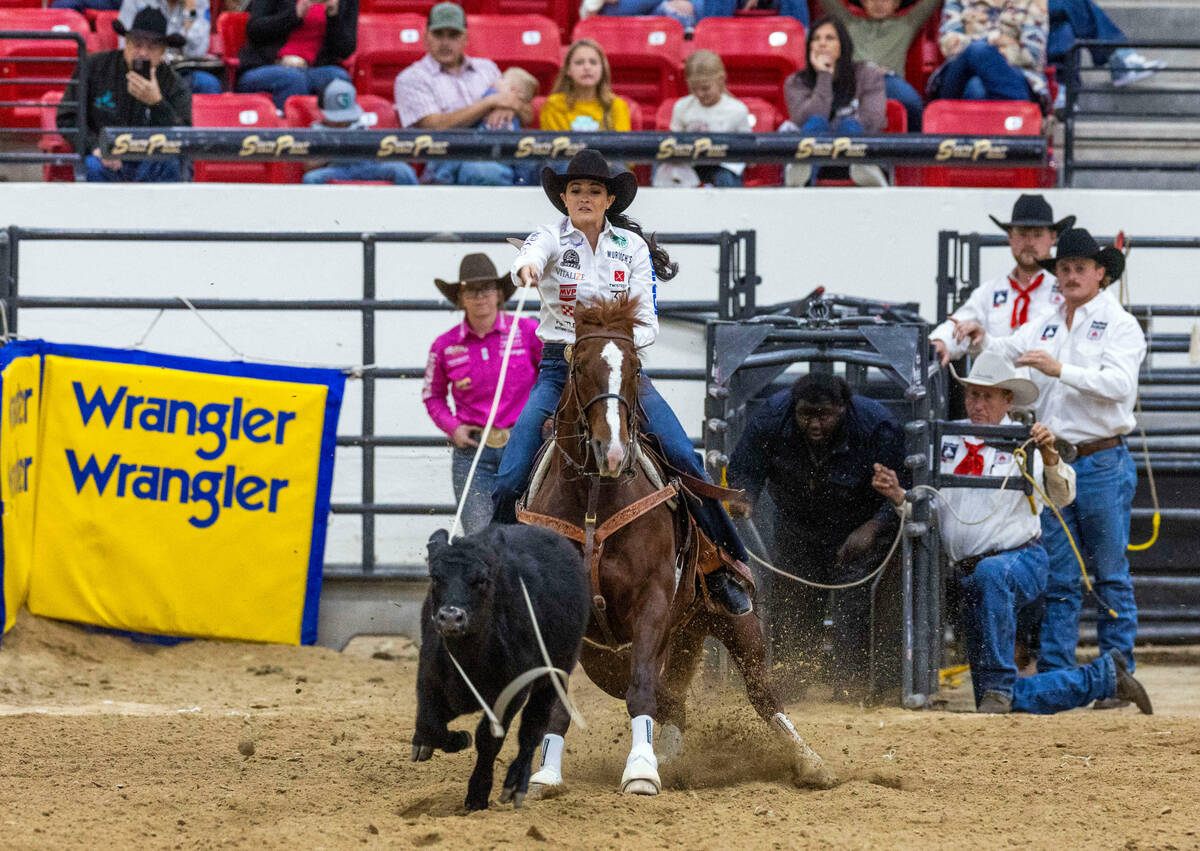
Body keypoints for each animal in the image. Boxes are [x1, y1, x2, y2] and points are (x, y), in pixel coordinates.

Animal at [410, 523, 588, 811]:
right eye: (435, 577)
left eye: (481, 580)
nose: (450, 617)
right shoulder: (428, 679)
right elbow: (430, 725)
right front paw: (453, 739)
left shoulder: (512, 693)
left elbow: (488, 740)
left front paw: (478, 794)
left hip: (553, 678)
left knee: (532, 731)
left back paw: (516, 784)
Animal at [516, 295, 835, 792]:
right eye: (580, 367)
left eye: (634, 368)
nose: (612, 451)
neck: (594, 498)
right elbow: (560, 701)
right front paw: (548, 773)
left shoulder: (651, 602)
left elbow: (644, 689)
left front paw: (641, 771)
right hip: (637, 648)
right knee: (673, 701)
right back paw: (668, 752)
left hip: (732, 621)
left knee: (761, 693)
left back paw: (809, 762)